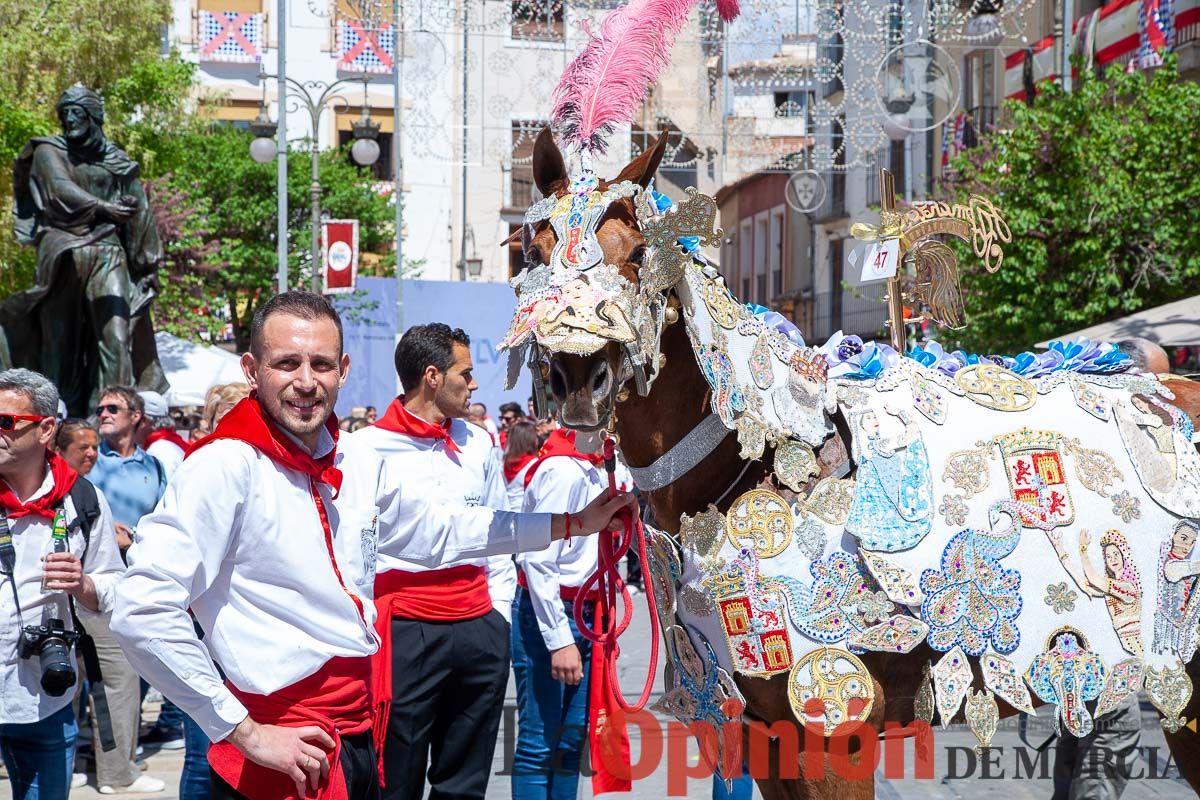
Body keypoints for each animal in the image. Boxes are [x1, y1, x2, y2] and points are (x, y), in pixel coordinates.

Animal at [494, 0, 1200, 796]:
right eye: (531, 251)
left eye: (640, 254)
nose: (577, 378)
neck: (762, 462)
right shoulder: (765, 734)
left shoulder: (833, 733)